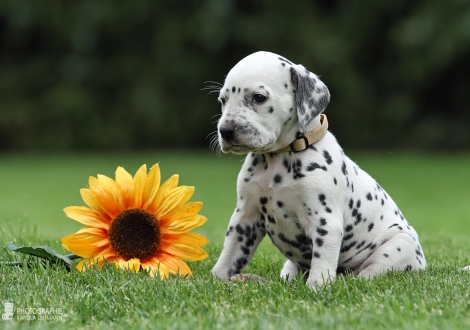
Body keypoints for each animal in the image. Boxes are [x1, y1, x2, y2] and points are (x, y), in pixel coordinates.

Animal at [211, 50, 428, 288]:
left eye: (259, 97)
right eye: (222, 100)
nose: (225, 130)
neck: (279, 158)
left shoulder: (325, 221)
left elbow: (322, 264)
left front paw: (317, 288)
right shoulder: (244, 219)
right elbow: (229, 255)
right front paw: (216, 279)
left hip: (399, 246)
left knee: (364, 276)